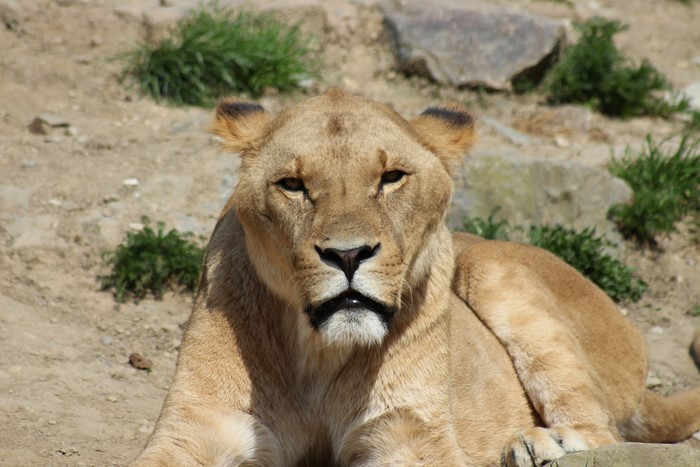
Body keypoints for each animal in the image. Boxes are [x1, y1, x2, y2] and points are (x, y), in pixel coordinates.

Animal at [131, 89, 700, 466]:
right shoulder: (198, 428)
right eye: (292, 184)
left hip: (489, 265)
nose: (348, 254)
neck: (318, 354)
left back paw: (542, 444)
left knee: (604, 431)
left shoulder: (412, 436)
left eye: (391, 178)